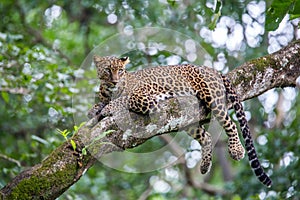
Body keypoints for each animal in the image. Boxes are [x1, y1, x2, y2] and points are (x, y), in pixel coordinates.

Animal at [88, 54, 272, 186]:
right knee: (206, 137)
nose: (115, 81)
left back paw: (236, 150)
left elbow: (124, 99)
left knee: (231, 123)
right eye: (107, 70)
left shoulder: (144, 95)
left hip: (212, 98)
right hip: (184, 119)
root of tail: (211, 69)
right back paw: (204, 166)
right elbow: (99, 104)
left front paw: (108, 108)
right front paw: (94, 110)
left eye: (120, 71)